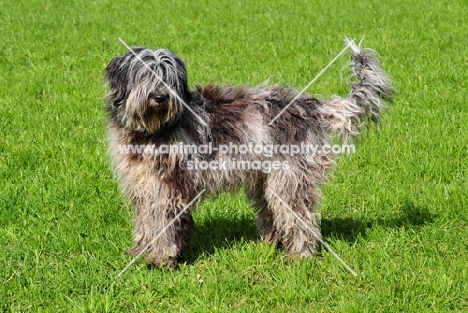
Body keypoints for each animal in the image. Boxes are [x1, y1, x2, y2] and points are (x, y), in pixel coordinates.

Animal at [104, 39, 394, 268]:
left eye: (167, 76)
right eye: (144, 74)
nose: (160, 97)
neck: (152, 131)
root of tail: (314, 107)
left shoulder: (169, 188)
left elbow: (164, 225)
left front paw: (162, 260)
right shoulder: (144, 187)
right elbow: (146, 222)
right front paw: (141, 252)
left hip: (289, 180)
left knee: (301, 217)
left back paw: (300, 256)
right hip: (265, 181)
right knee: (273, 215)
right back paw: (268, 245)